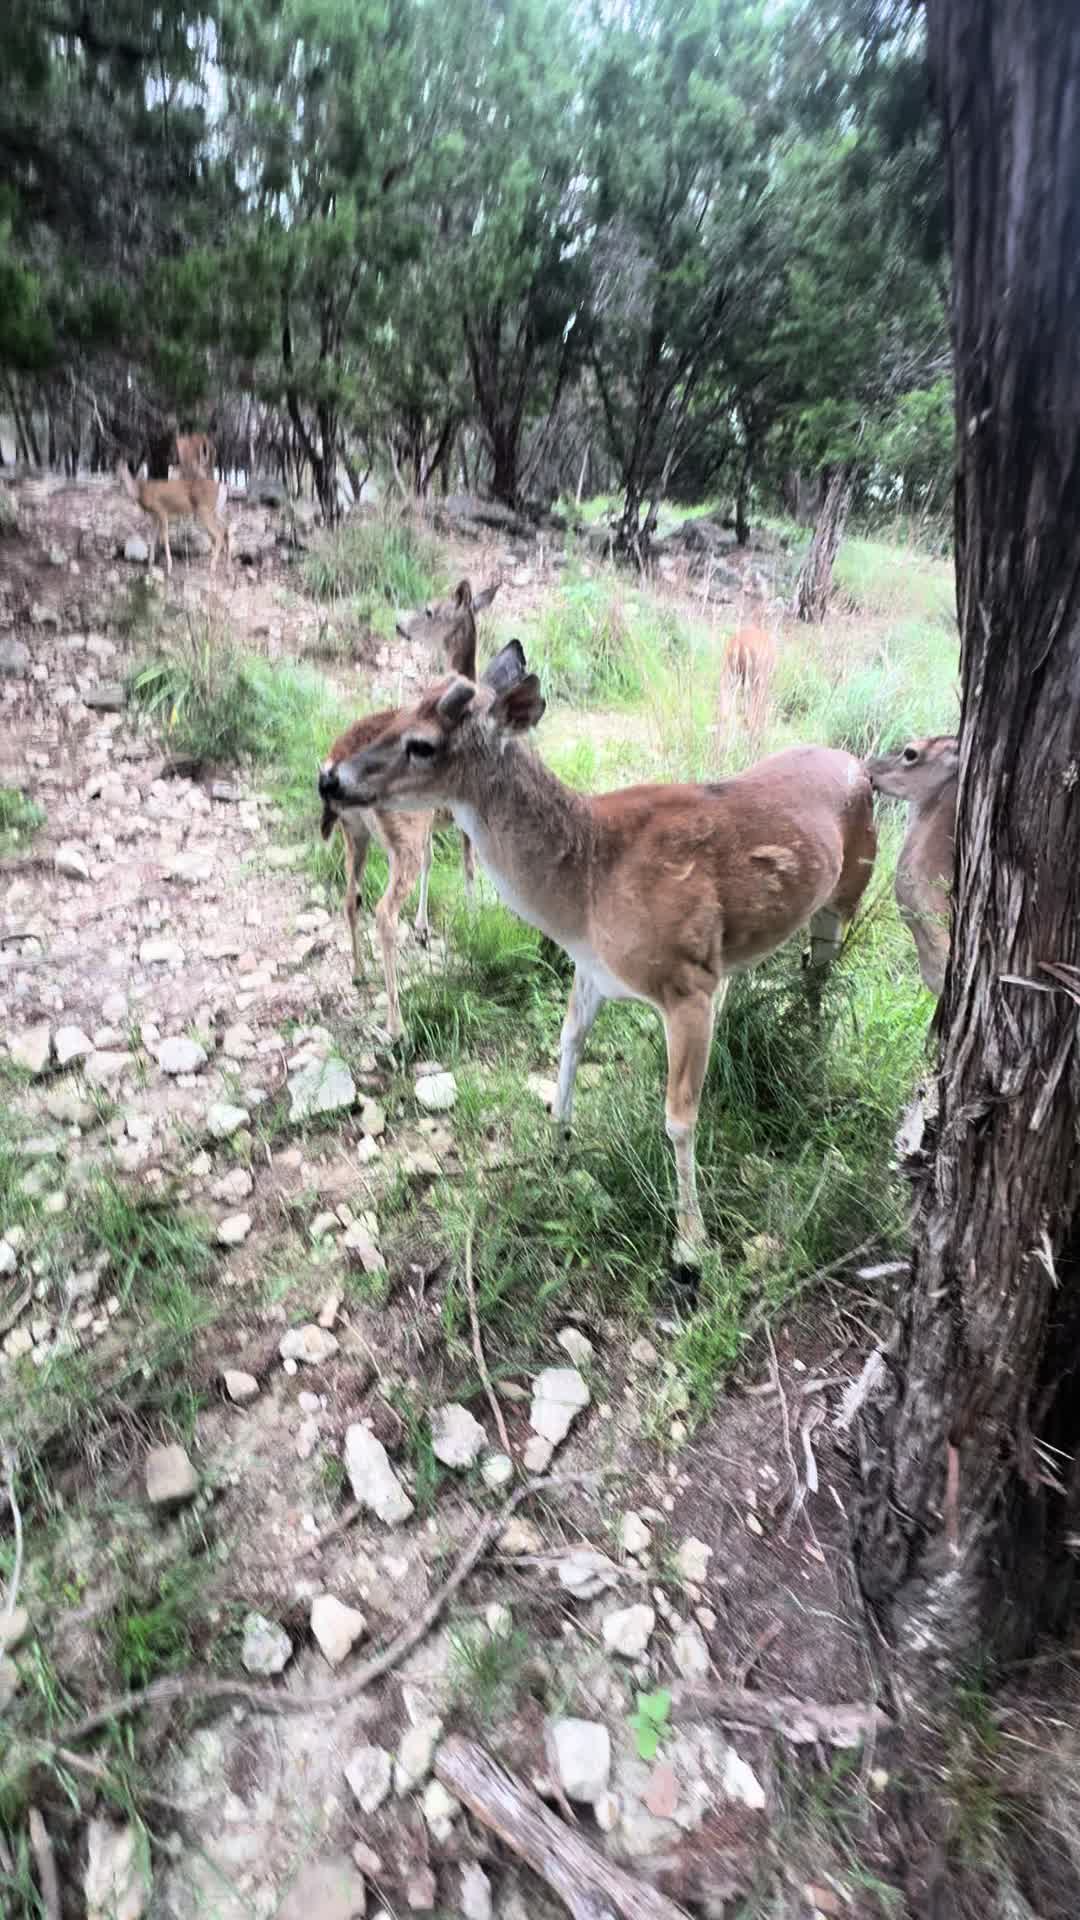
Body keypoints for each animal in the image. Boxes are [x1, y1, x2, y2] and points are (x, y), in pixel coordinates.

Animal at [318, 641, 878, 1256]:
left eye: (421, 743)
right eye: (391, 717)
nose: (329, 779)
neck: (587, 883)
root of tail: (862, 765)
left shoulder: (686, 982)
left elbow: (680, 1117)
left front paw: (690, 1243)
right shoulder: (590, 969)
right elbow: (568, 1042)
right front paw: (557, 1140)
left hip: (851, 887)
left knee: (821, 969)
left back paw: (813, 1041)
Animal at [320, 579, 499, 1038]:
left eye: (430, 609)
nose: (400, 625)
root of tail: (333, 761)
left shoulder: (433, 820)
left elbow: (436, 862)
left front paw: (423, 926)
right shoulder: (463, 815)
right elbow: (468, 866)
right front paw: (474, 916)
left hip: (355, 832)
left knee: (351, 896)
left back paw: (358, 973)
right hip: (400, 833)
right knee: (383, 912)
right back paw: (396, 1022)